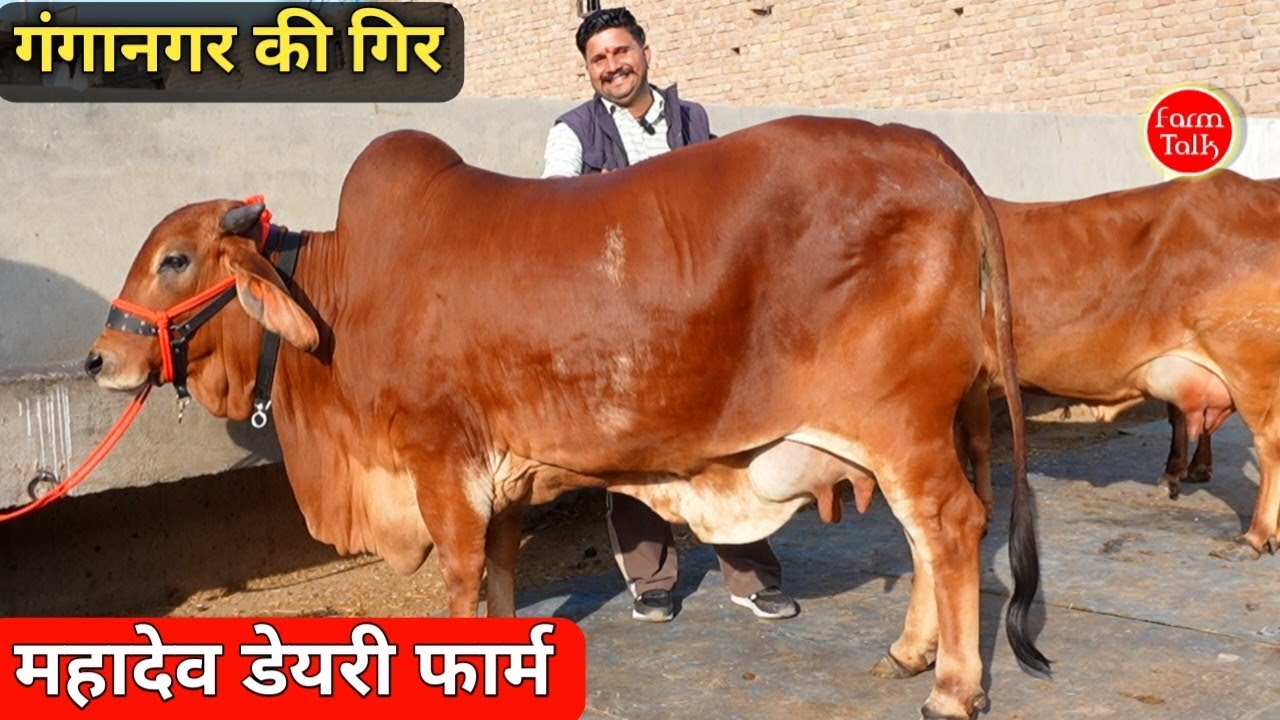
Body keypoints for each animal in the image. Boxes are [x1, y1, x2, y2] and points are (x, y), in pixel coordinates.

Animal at [86, 116, 1047, 719]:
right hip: (935, 423)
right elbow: (504, 570)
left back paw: (952, 688)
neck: (348, 294)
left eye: (175, 259)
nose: (101, 358)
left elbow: (463, 576)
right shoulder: (502, 475)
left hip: (900, 423)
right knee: (930, 533)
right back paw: (912, 651)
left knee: (948, 524)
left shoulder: (442, 462)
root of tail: (929, 152)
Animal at [958, 170, 1280, 562]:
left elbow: (976, 443)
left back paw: (1255, 535)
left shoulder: (974, 377)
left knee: (1270, 444)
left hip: (1248, 368)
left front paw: (985, 506)